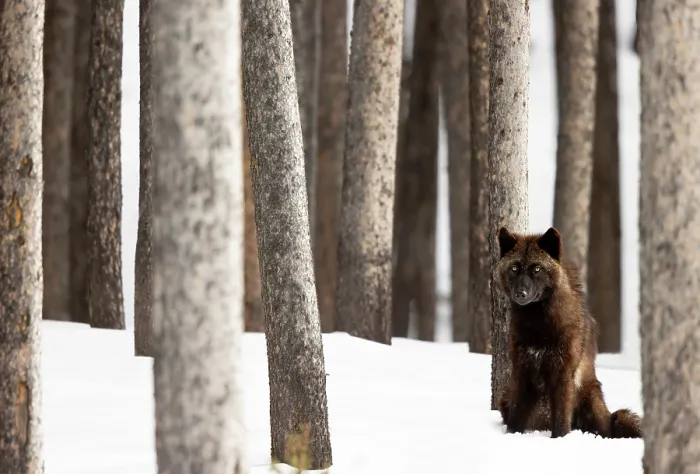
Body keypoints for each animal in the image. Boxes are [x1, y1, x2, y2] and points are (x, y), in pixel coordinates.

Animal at [494, 226, 642, 439]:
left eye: (536, 269)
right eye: (514, 268)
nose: (520, 294)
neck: (538, 326)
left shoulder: (563, 374)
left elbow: (562, 420)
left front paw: (559, 440)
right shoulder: (523, 371)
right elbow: (516, 417)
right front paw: (512, 436)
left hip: (592, 399)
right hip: (504, 396)